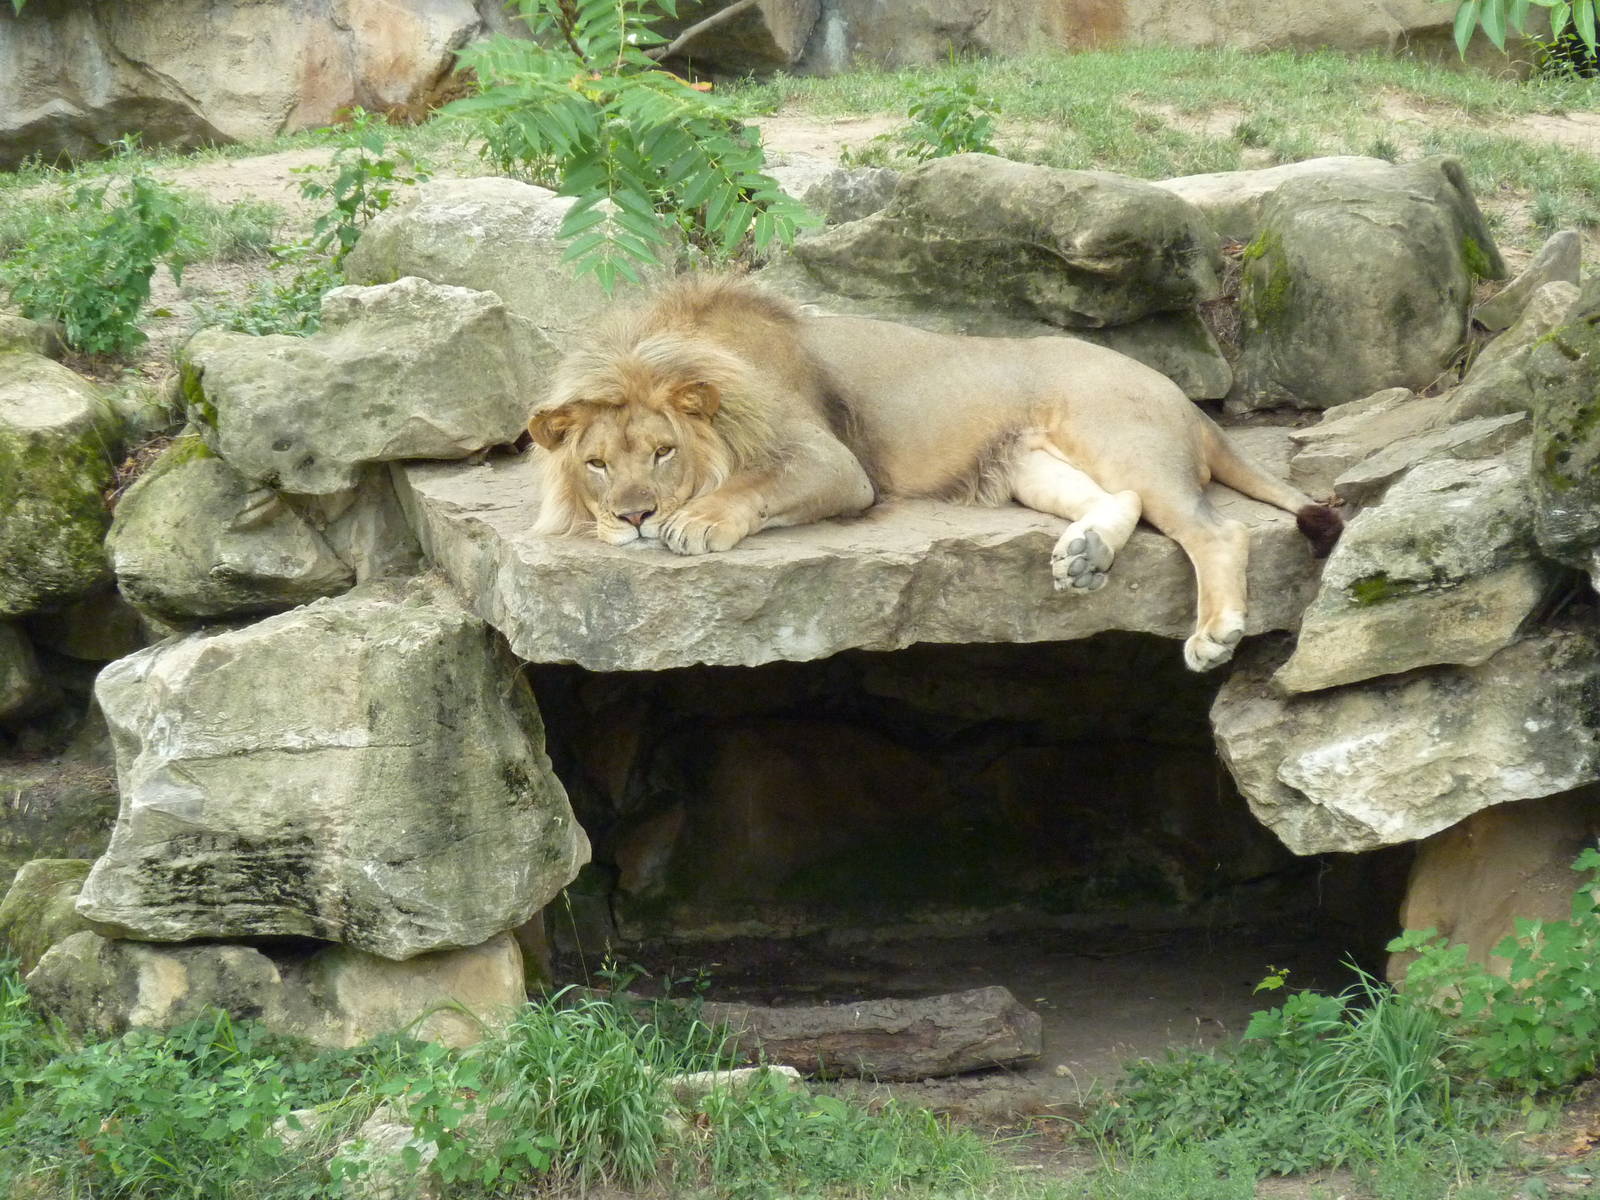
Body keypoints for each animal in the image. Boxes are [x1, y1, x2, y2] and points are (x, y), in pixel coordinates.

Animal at [528, 275, 1342, 672]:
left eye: (663, 452)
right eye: (596, 465)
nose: (634, 517)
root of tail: (1187, 399)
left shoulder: (836, 464)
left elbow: (754, 486)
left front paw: (694, 521)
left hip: (1121, 435)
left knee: (1216, 530)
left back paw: (1214, 634)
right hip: (1026, 464)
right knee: (1124, 501)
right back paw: (1084, 557)